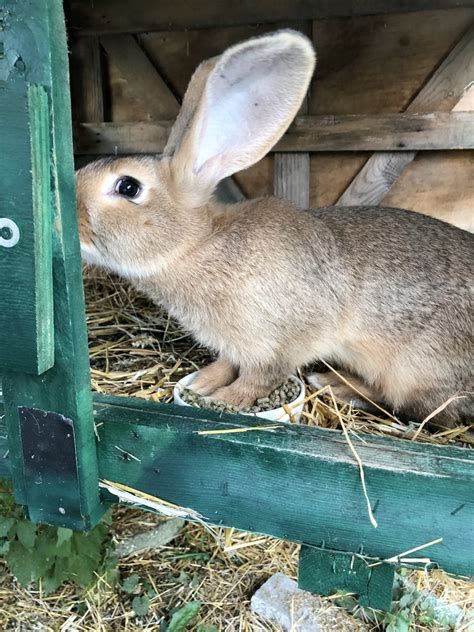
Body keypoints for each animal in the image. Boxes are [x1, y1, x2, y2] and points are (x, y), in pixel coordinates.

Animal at [76, 29, 472, 430]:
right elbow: (227, 364)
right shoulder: (234, 346)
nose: (71, 216)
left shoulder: (279, 344)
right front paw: (203, 384)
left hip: (412, 372)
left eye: (128, 187)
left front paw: (224, 400)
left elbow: (257, 378)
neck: (197, 244)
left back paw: (333, 385)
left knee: (420, 409)